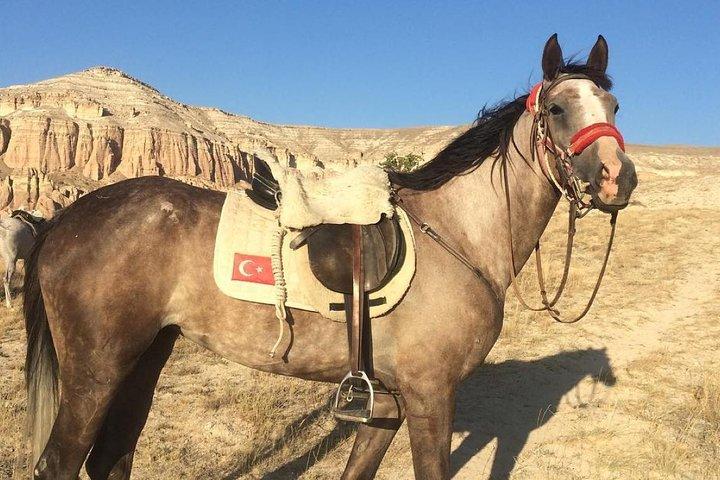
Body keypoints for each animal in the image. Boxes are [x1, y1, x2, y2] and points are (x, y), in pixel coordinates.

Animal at [23, 34, 637, 480]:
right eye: (557, 107)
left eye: (613, 104)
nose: (617, 178)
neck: (457, 233)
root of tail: (63, 221)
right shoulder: (431, 397)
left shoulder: (387, 406)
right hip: (97, 370)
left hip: (144, 358)